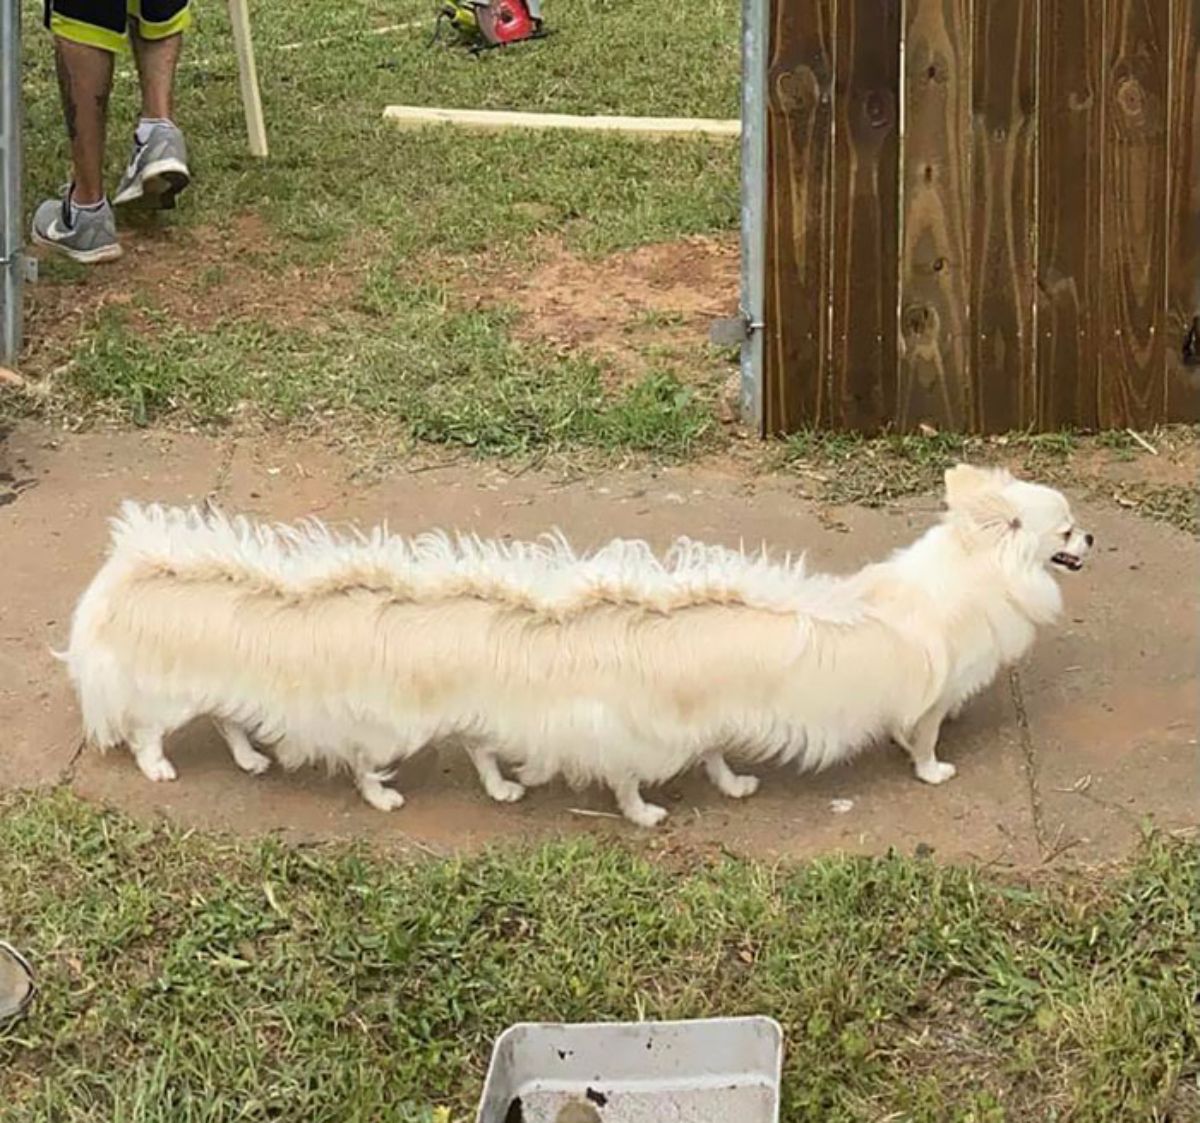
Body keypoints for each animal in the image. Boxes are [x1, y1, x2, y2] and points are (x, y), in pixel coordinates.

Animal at [63, 465, 1089, 825]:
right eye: (1065, 527)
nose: (1095, 540)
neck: (966, 575)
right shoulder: (927, 701)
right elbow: (923, 740)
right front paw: (936, 774)